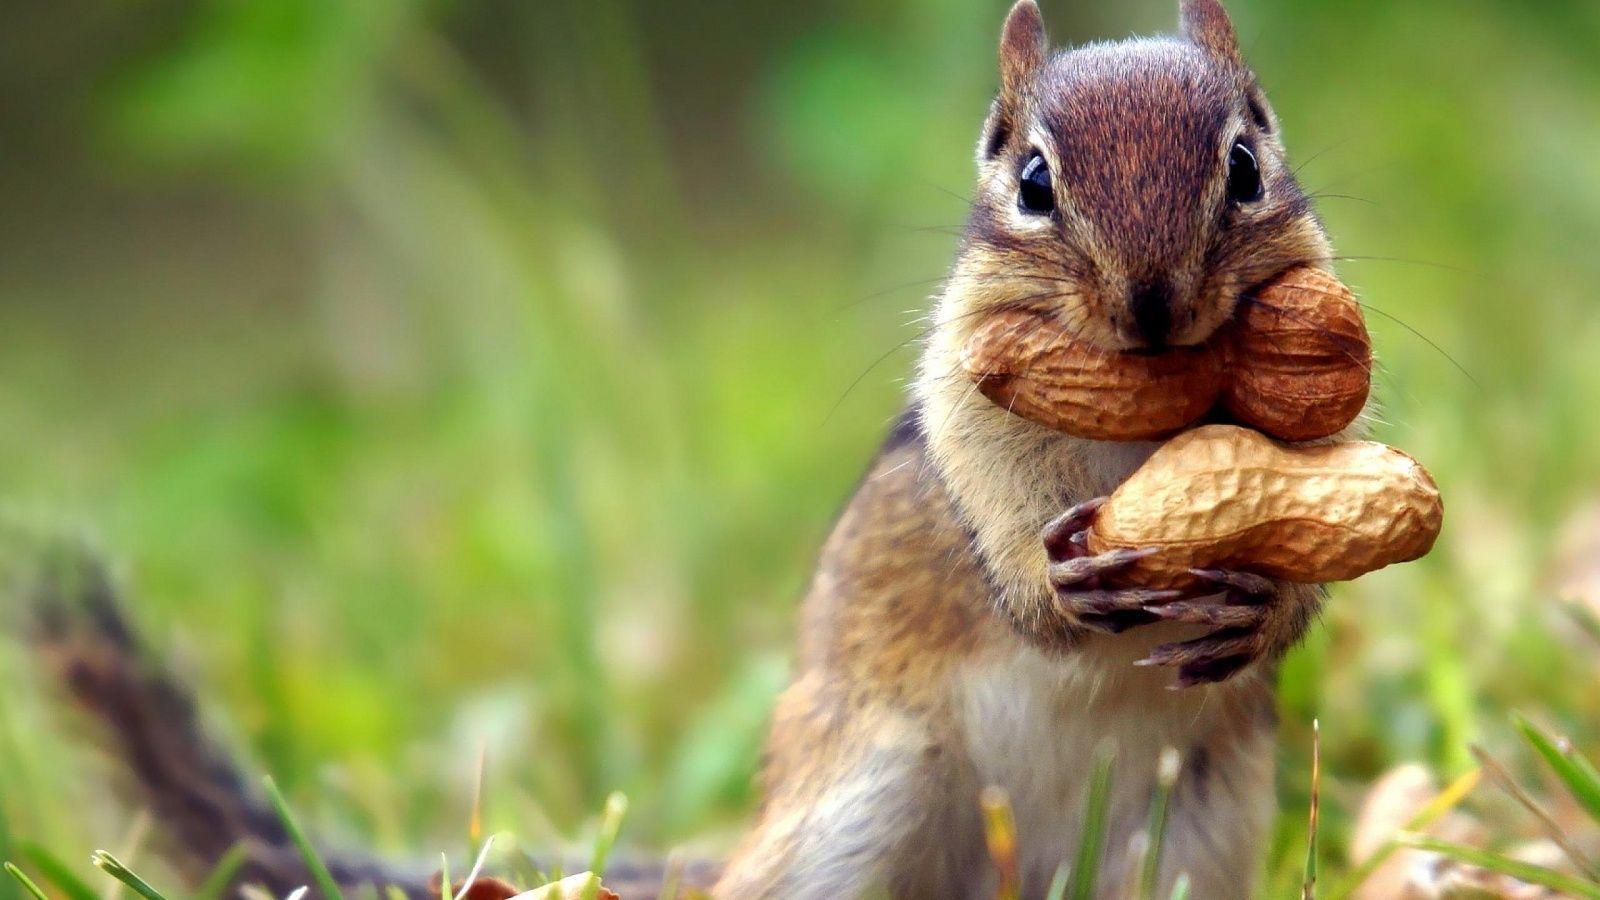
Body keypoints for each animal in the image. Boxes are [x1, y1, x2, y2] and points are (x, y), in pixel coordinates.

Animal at [34, 1, 1346, 898]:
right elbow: (995, 521)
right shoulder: (962, 412)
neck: (1145, 414)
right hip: (854, 815)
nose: (1152, 309)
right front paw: (1052, 584)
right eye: (1030, 178)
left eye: (1245, 163)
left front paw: (1262, 609)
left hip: (1188, 845)